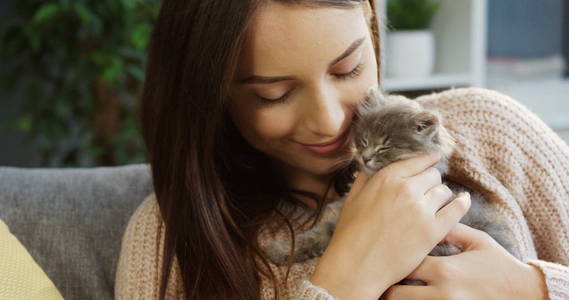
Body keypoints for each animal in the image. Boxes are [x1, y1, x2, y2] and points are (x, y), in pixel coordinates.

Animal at [262, 87, 520, 286]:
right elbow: (311, 237)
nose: (365, 157)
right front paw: (279, 250)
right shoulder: (334, 224)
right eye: (364, 139)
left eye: (385, 146)